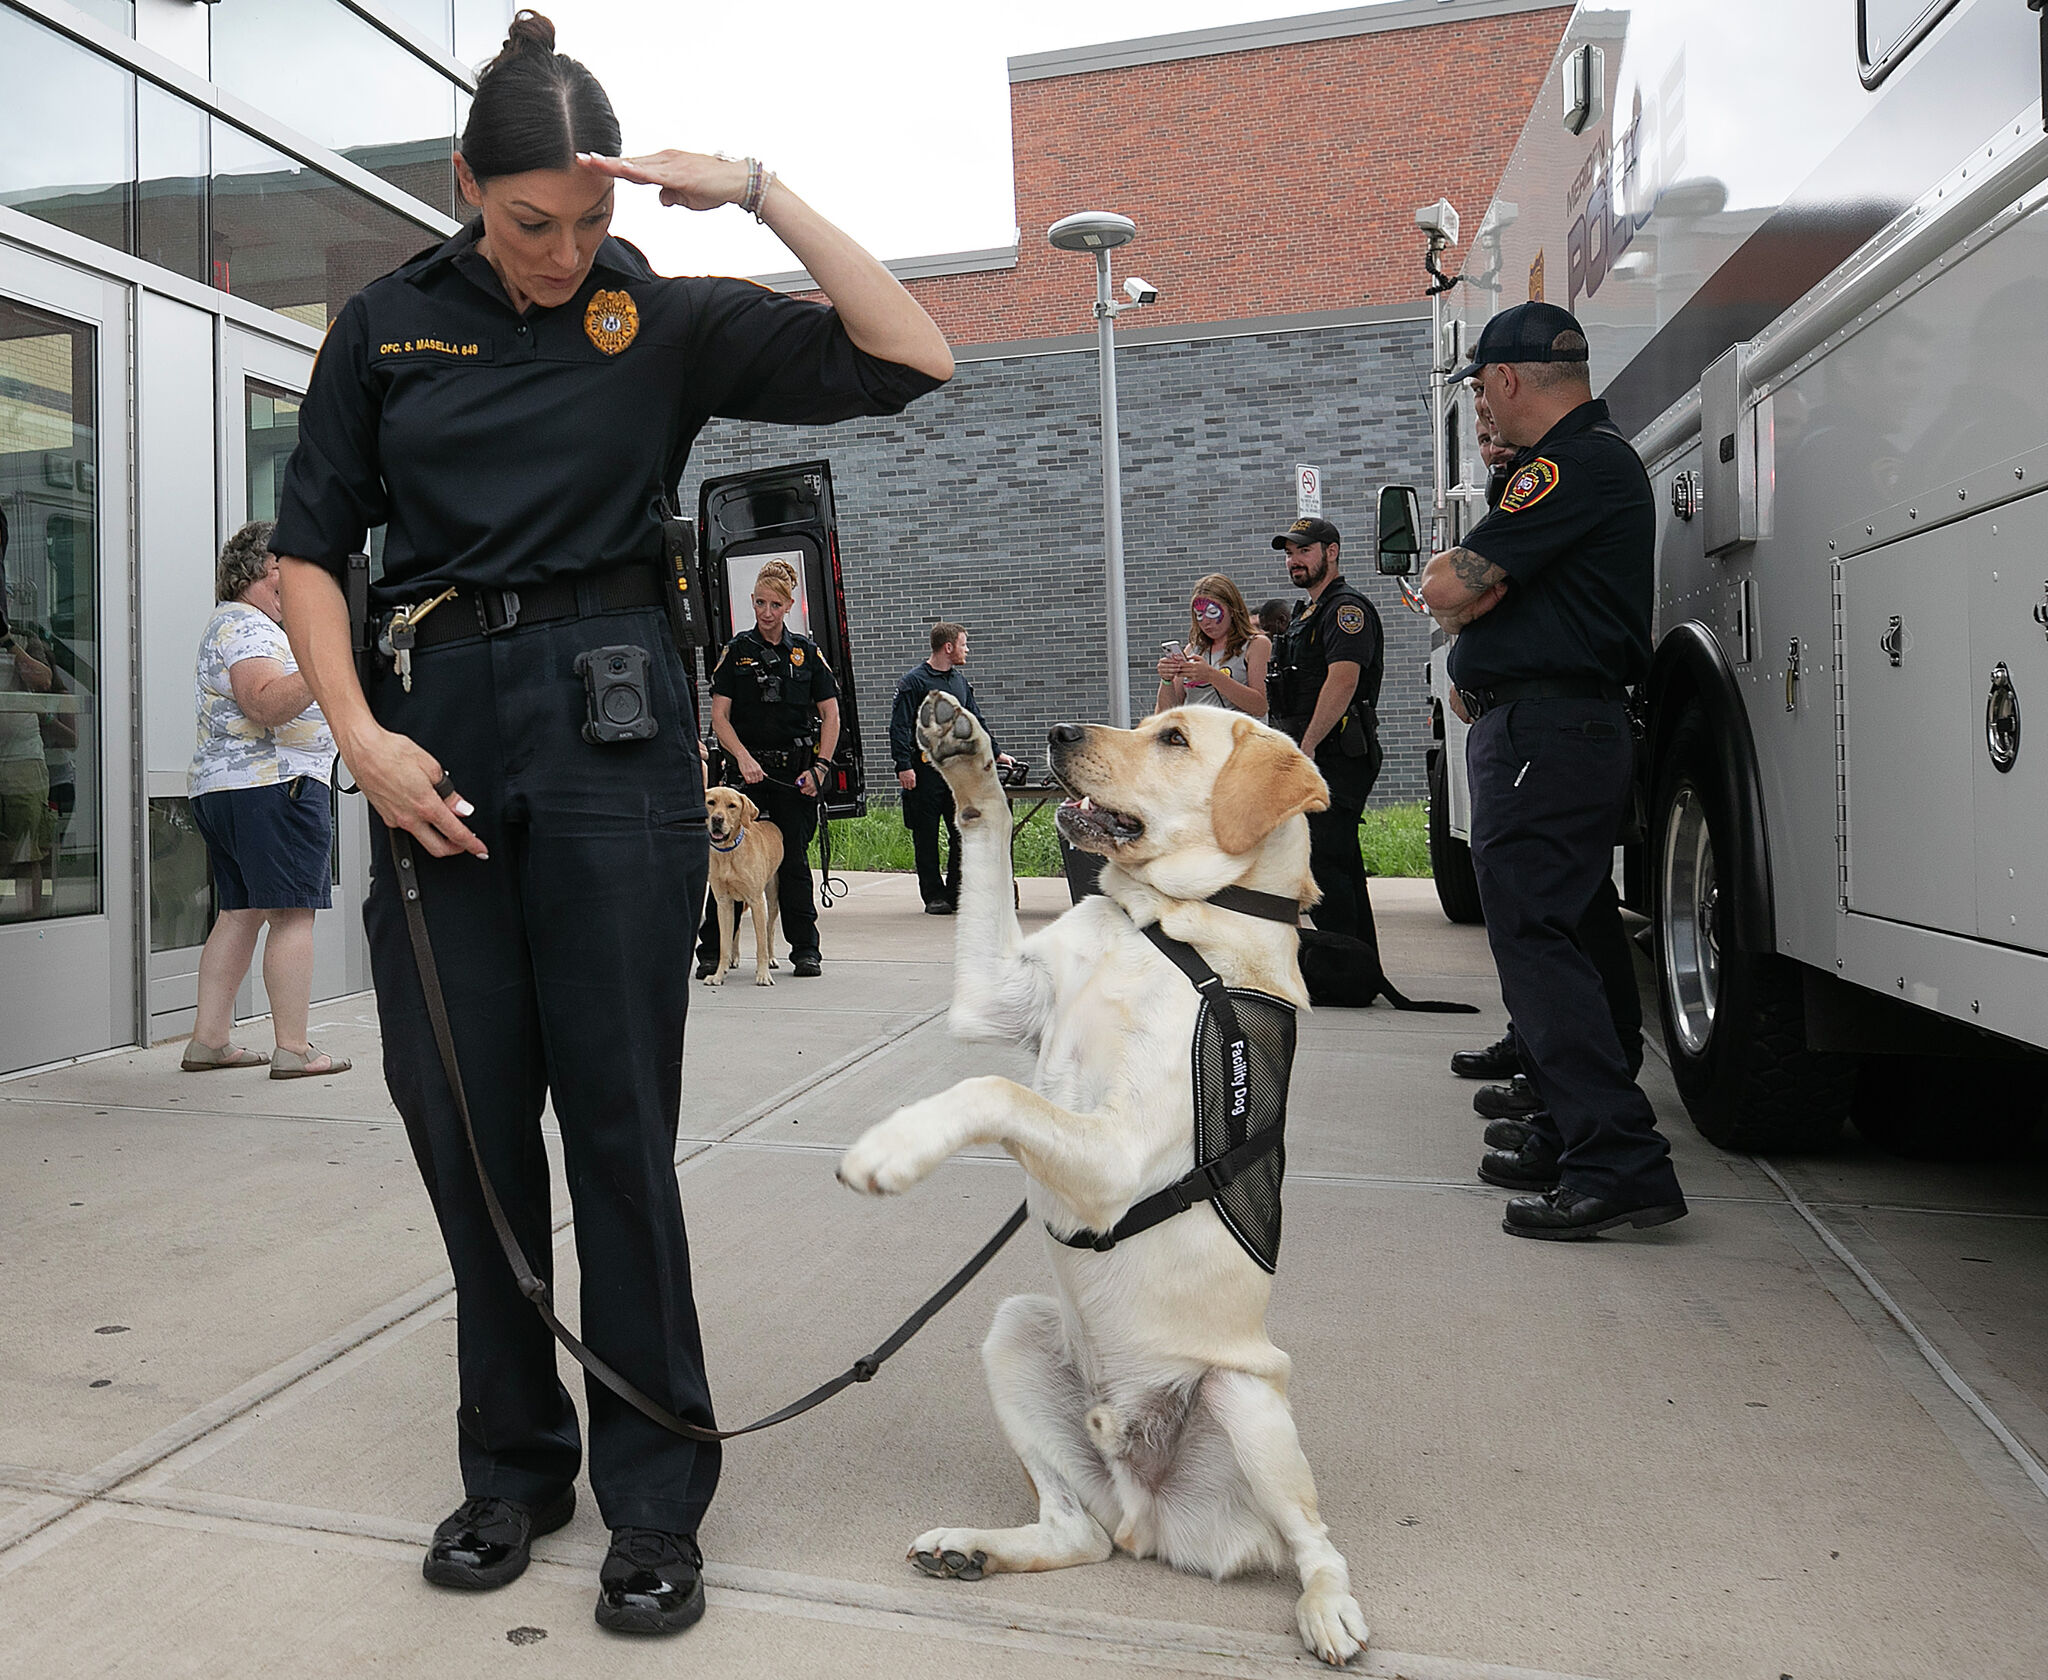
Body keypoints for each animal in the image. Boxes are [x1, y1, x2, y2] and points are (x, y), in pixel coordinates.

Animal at [704, 786, 782, 983]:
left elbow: (761, 944)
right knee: (737, 928)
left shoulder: (756, 902)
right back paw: (734, 959)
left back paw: (772, 959)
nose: (717, 819)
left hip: (772, 897)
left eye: (732, 805)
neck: (728, 852)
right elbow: (724, 945)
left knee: (770, 930)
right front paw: (718, 975)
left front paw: (763, 975)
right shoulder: (723, 902)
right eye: (711, 802)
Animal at [831, 692, 1376, 1663]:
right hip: (1015, 1330)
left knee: (1314, 1542)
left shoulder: (1115, 1155)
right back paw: (971, 1550)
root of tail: (1149, 1517)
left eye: (1174, 739)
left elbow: (996, 1087)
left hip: (1244, 1397)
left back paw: (1328, 1609)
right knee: (1079, 1533)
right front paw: (964, 756)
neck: (1161, 925)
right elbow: (986, 839)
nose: (1055, 735)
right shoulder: (993, 996)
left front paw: (897, 1143)